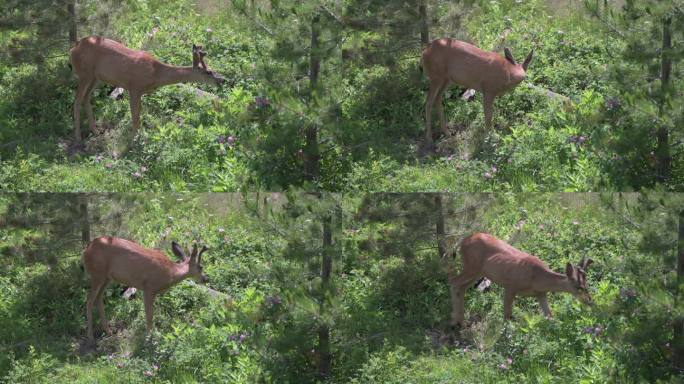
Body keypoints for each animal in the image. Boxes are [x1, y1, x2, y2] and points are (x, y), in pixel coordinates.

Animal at [68, 36, 226, 144]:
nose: (222, 80)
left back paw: (96, 131)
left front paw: (141, 136)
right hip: (84, 73)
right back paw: (78, 137)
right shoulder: (134, 87)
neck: (155, 73)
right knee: (77, 99)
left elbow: (139, 113)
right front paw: (133, 141)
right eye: (209, 72)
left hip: (96, 77)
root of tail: (73, 49)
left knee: (86, 97)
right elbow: (135, 117)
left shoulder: (140, 93)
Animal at [452, 231, 592, 328]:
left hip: (477, 271)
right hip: (471, 266)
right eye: (579, 287)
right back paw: (456, 323)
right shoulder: (510, 286)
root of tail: (462, 242)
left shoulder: (541, 294)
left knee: (462, 287)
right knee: (454, 282)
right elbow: (507, 315)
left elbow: (550, 316)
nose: (590, 301)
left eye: (587, 285)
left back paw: (461, 322)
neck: (537, 278)